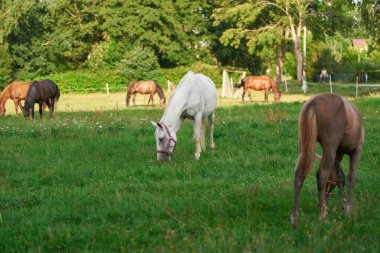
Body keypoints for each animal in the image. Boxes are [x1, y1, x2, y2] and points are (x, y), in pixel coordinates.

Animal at [290, 94, 366, 224]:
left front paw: (343, 207)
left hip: (304, 145)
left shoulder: (338, 153)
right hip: (330, 148)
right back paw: (323, 215)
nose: (326, 195)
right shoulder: (356, 151)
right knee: (321, 174)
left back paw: (295, 217)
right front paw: (348, 210)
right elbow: (351, 178)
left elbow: (340, 178)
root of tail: (313, 103)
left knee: (299, 174)